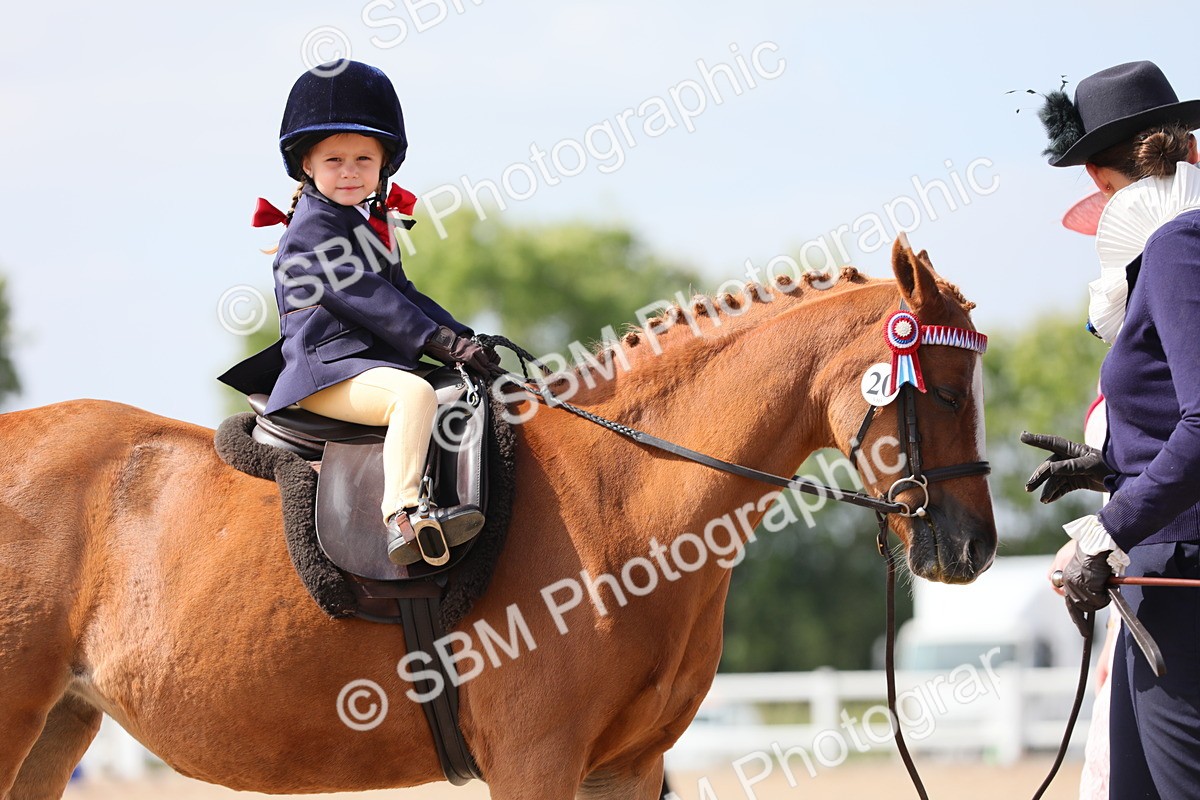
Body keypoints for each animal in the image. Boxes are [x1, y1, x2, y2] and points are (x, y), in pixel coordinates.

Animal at [0, 236, 995, 800]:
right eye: (943, 390)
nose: (973, 548)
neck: (623, 496)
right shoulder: (536, 762)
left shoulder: (624, 770)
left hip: (55, 731)